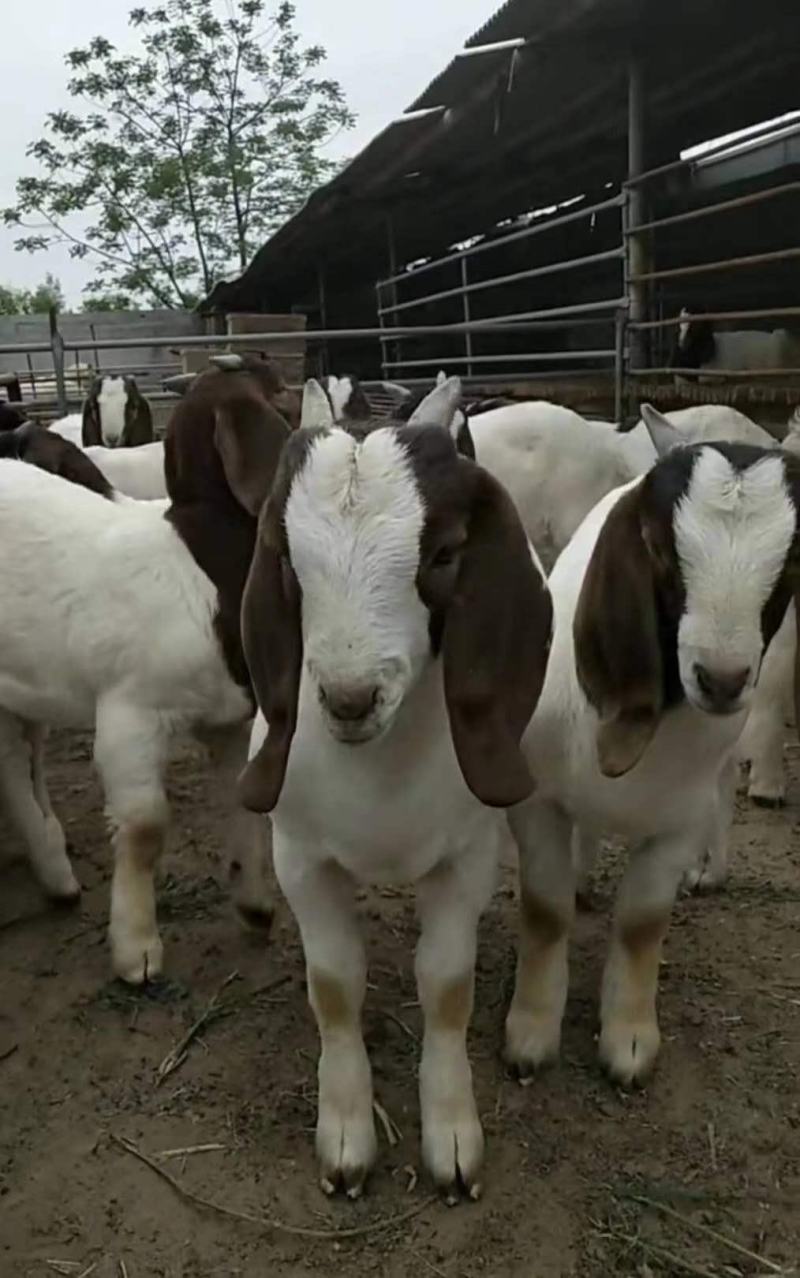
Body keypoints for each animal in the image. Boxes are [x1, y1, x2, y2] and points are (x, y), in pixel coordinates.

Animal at [236, 373, 546, 1201]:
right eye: (288, 562)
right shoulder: (301, 856)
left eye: (442, 553)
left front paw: (452, 1136)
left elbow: (445, 985)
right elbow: (335, 983)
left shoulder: (466, 858)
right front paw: (345, 1136)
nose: (349, 699)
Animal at [503, 431, 797, 1088]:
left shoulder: (676, 826)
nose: (721, 680)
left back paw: (709, 872)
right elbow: (545, 911)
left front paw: (629, 1043)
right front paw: (530, 1035)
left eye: (792, 565)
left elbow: (642, 925)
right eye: (661, 550)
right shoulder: (538, 802)